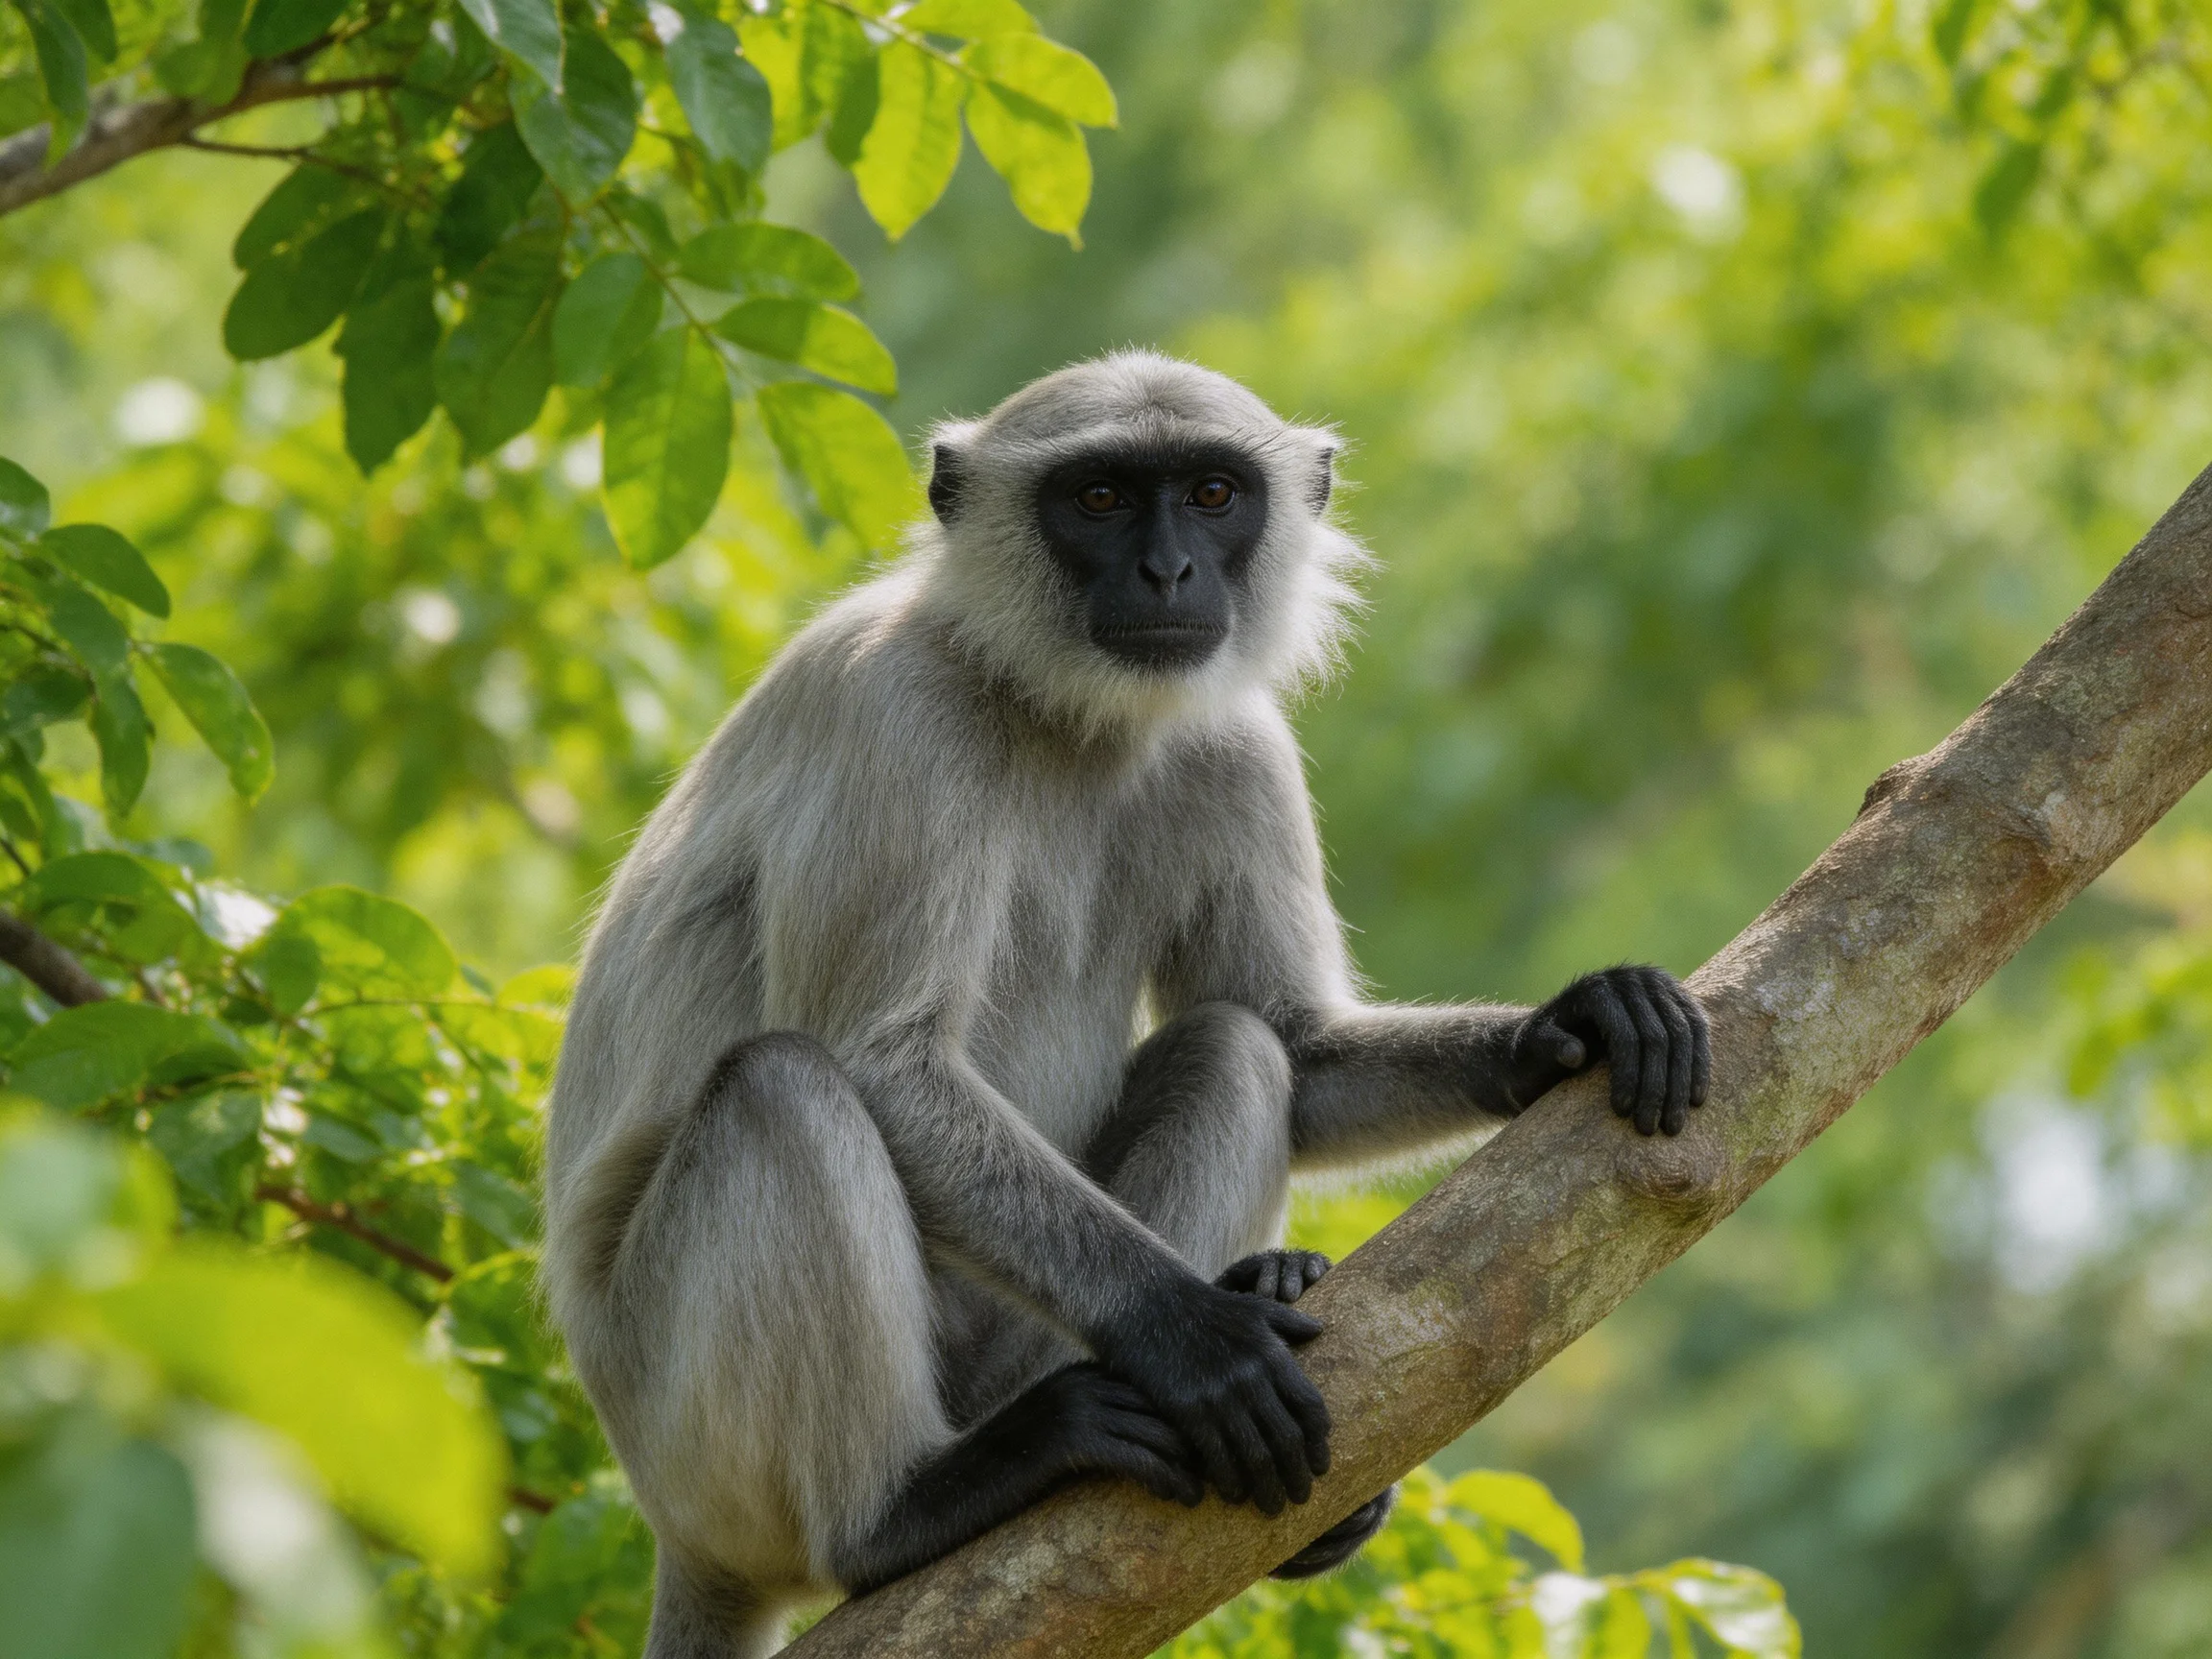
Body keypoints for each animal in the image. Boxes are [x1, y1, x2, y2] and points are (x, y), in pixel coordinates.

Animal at [540, 351, 1710, 1658]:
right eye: (1099, 499)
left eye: (1211, 494)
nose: (1168, 572)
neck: (1057, 709)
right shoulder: (889, 709)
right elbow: (882, 1060)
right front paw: (1194, 1342)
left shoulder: (1238, 742)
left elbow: (1295, 1048)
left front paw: (1570, 1027)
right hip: (683, 1424)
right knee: (782, 1084)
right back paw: (904, 1509)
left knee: (1232, 1050)